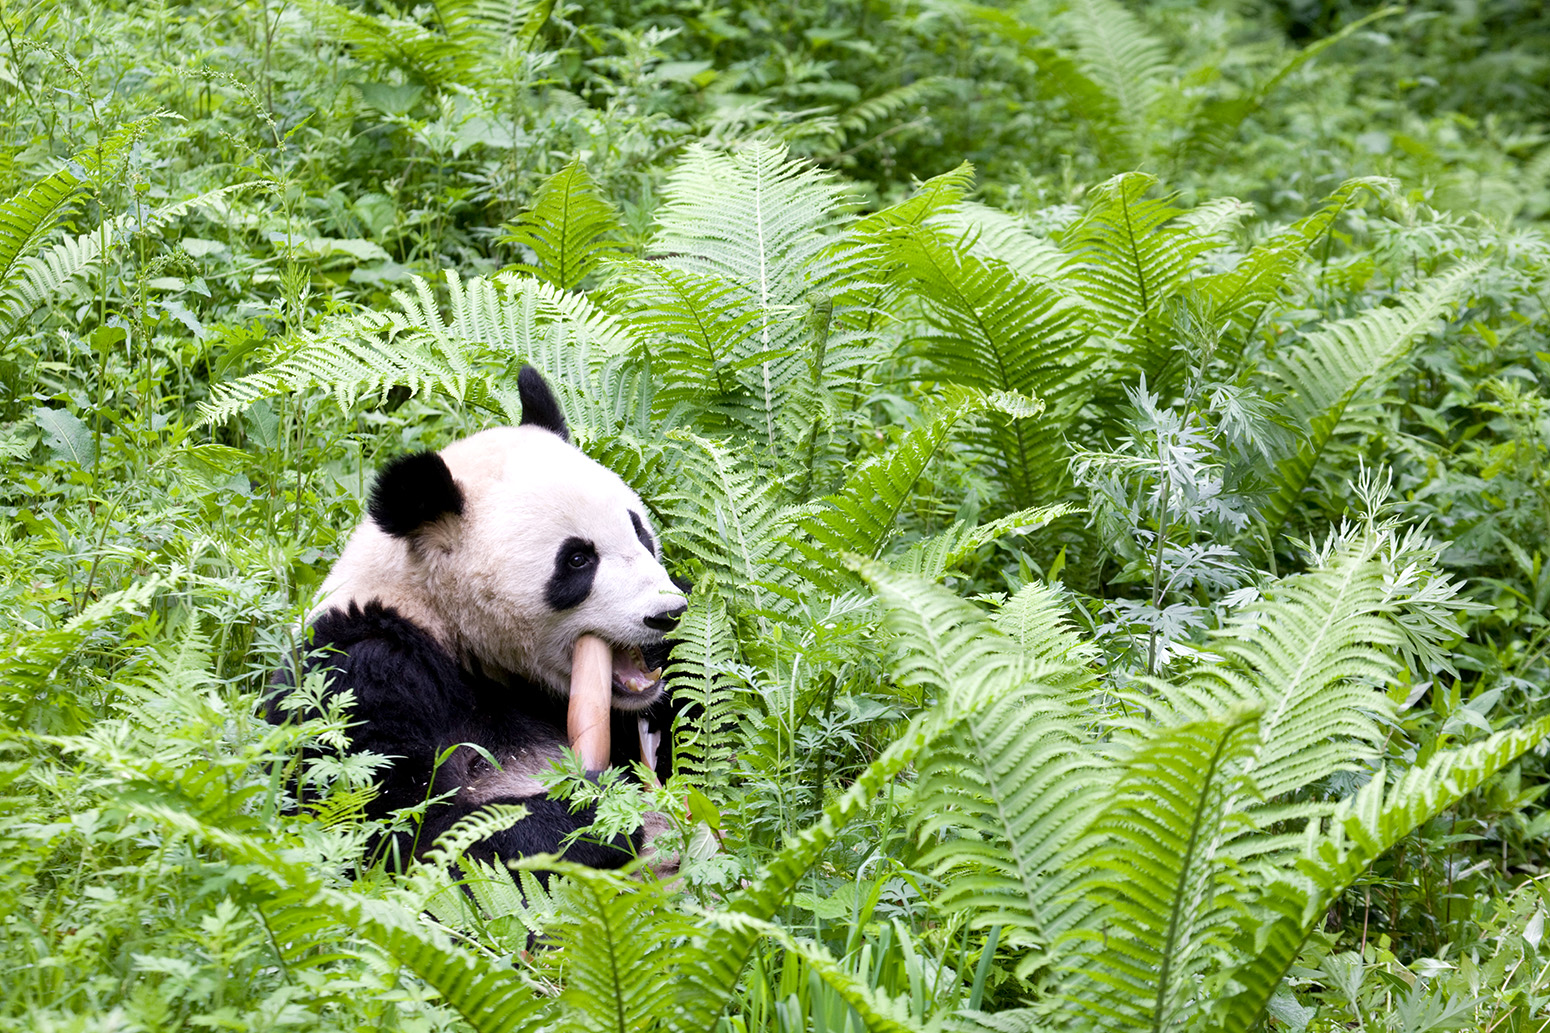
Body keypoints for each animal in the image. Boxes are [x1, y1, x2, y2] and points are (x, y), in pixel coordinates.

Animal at [271, 370, 685, 868]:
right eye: (578, 560)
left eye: (640, 532)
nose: (667, 613)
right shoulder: (363, 674)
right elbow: (395, 833)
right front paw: (594, 811)